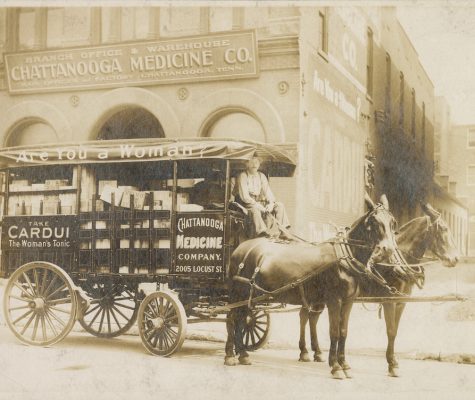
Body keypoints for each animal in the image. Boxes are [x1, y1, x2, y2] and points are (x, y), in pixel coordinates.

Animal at [225, 195, 400, 378]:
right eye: (373, 221)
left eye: (393, 222)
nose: (387, 250)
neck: (345, 257)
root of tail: (241, 248)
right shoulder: (334, 300)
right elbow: (334, 331)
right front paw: (336, 367)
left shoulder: (348, 301)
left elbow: (343, 331)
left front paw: (344, 364)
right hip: (238, 293)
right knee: (232, 318)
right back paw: (230, 354)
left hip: (248, 296)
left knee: (242, 319)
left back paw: (242, 353)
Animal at [300, 205, 460, 376]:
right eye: (443, 229)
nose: (455, 258)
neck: (396, 263)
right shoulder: (388, 300)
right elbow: (390, 330)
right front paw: (391, 364)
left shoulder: (401, 302)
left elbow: (395, 330)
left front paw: (393, 361)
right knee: (304, 316)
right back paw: (304, 352)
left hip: (319, 297)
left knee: (312, 318)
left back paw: (317, 352)